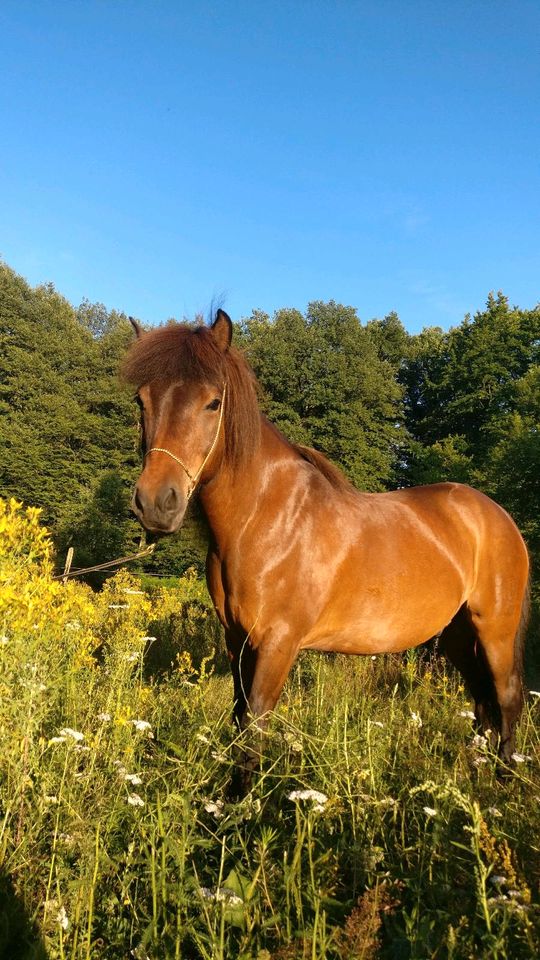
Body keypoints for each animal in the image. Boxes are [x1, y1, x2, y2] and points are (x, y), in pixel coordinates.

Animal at [124, 312, 528, 792]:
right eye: (141, 400)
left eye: (213, 403)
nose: (155, 503)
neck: (264, 517)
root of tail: (497, 517)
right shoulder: (236, 639)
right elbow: (239, 717)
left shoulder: (278, 642)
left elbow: (253, 726)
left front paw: (237, 806)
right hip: (457, 634)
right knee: (482, 703)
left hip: (495, 630)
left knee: (506, 700)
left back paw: (501, 784)